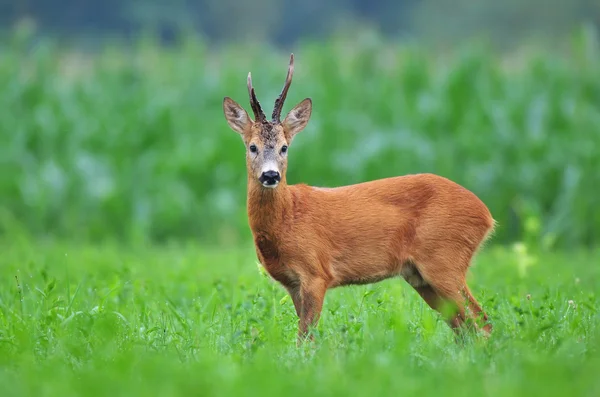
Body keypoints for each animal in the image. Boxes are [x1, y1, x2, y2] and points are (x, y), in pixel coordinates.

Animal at [223, 52, 494, 344]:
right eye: (252, 147)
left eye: (284, 147)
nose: (271, 175)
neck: (287, 217)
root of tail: (487, 215)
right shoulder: (293, 283)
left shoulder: (316, 272)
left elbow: (306, 338)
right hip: (421, 277)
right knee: (464, 329)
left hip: (445, 259)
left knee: (483, 322)